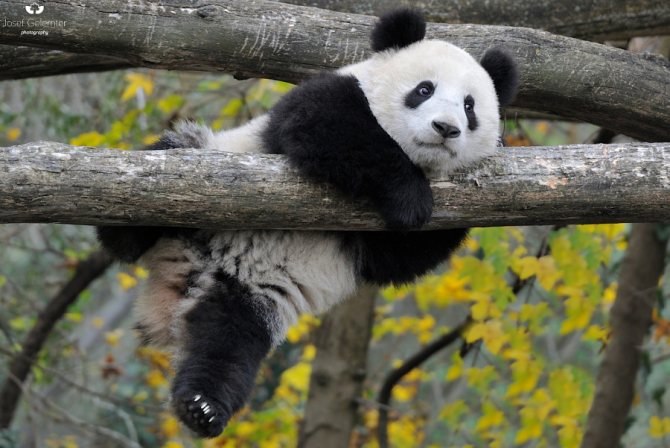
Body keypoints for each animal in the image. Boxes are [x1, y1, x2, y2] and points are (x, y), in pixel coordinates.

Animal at [97, 9, 518, 438]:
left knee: (228, 344)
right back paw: (125, 225)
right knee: (167, 161)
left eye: (469, 107)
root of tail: (185, 271)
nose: (446, 128)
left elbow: (399, 256)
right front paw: (412, 196)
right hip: (197, 165)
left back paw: (203, 406)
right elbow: (326, 126)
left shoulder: (371, 246)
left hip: (248, 297)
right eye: (424, 89)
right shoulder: (322, 99)